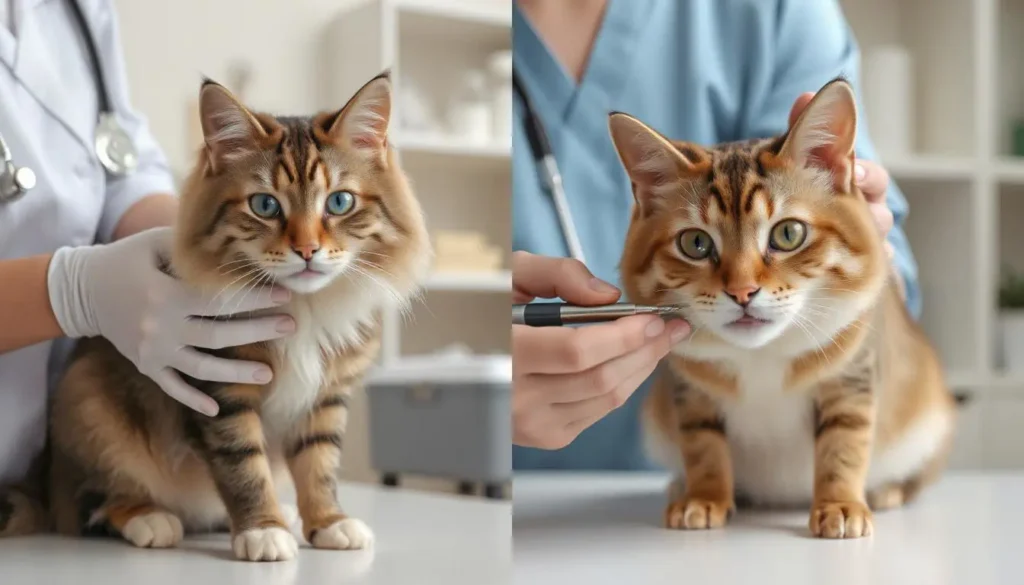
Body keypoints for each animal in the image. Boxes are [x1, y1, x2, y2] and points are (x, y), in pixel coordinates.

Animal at [0, 71, 428, 561]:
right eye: (265, 205)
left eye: (339, 203)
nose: (306, 250)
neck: (302, 308)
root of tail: (42, 475)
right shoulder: (222, 392)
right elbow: (243, 466)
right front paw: (262, 530)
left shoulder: (326, 398)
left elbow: (319, 466)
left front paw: (328, 522)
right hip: (87, 404)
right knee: (91, 502)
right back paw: (150, 519)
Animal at [614, 77, 958, 540]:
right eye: (696, 243)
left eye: (788, 233)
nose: (742, 292)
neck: (760, 353)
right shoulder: (691, 392)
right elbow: (703, 446)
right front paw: (705, 497)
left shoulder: (851, 378)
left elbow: (843, 445)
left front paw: (840, 505)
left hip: (929, 423)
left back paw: (888, 491)